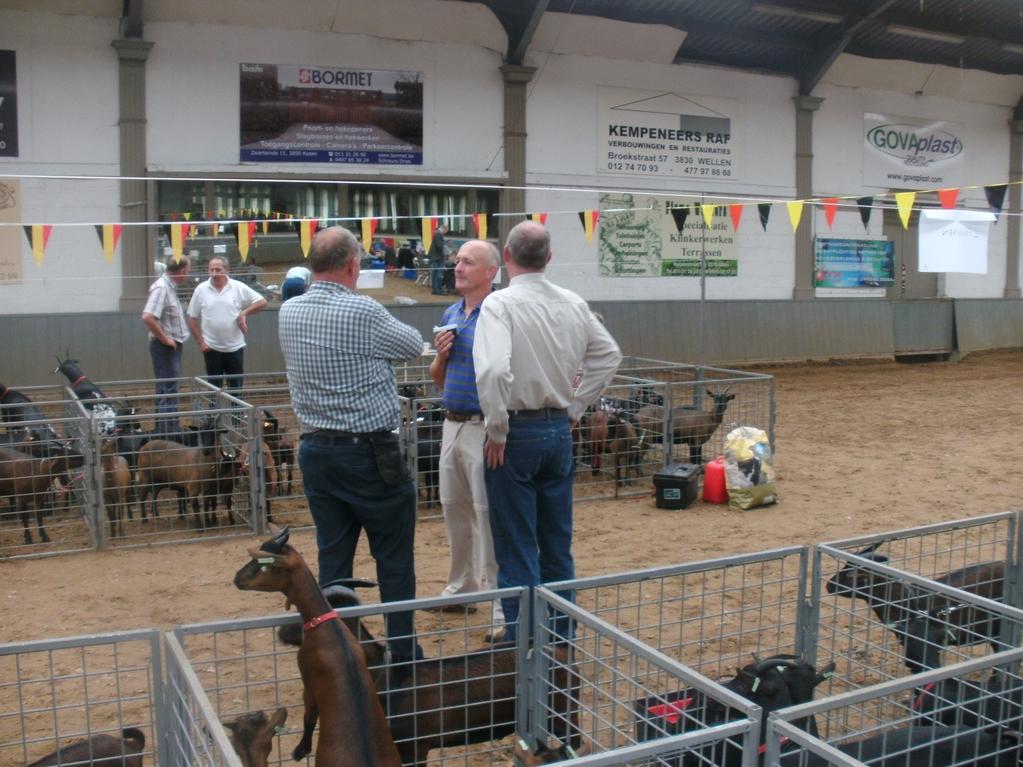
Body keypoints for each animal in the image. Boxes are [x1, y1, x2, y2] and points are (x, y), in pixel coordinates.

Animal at [235, 527, 398, 767]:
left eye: (263, 564)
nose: (236, 578)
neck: (325, 625)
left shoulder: (308, 680)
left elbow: (309, 716)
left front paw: (301, 749)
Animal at [276, 584, 581, 764]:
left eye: (308, 616)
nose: (280, 631)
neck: (387, 677)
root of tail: (560, 650)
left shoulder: (416, 747)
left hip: (563, 712)